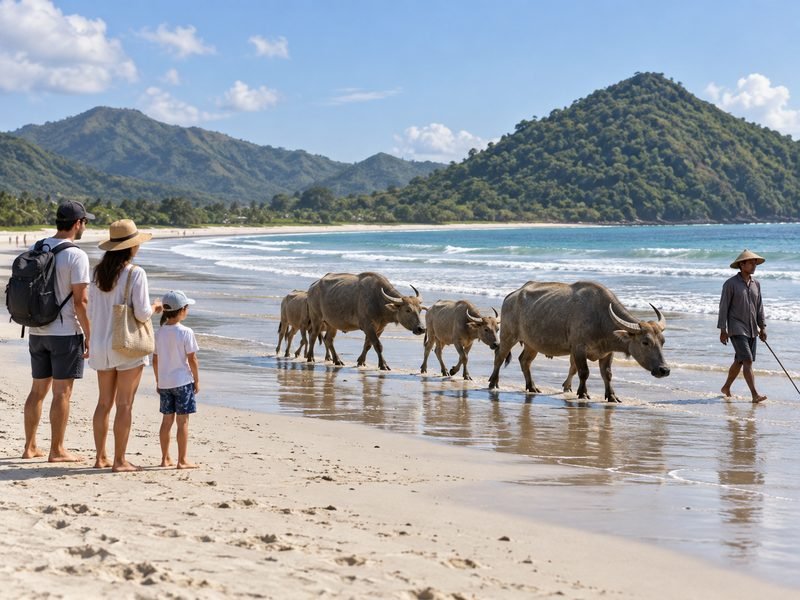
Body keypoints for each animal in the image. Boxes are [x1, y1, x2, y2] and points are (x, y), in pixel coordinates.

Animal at [488, 281, 669, 402]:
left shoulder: (607, 352)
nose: (664, 370)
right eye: (645, 342)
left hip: (532, 344)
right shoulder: (578, 349)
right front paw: (583, 393)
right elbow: (584, 372)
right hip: (508, 336)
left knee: (524, 361)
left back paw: (532, 387)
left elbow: (607, 374)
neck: (601, 317)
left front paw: (612, 396)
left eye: (662, 341)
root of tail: (512, 296)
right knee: (499, 356)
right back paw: (493, 382)